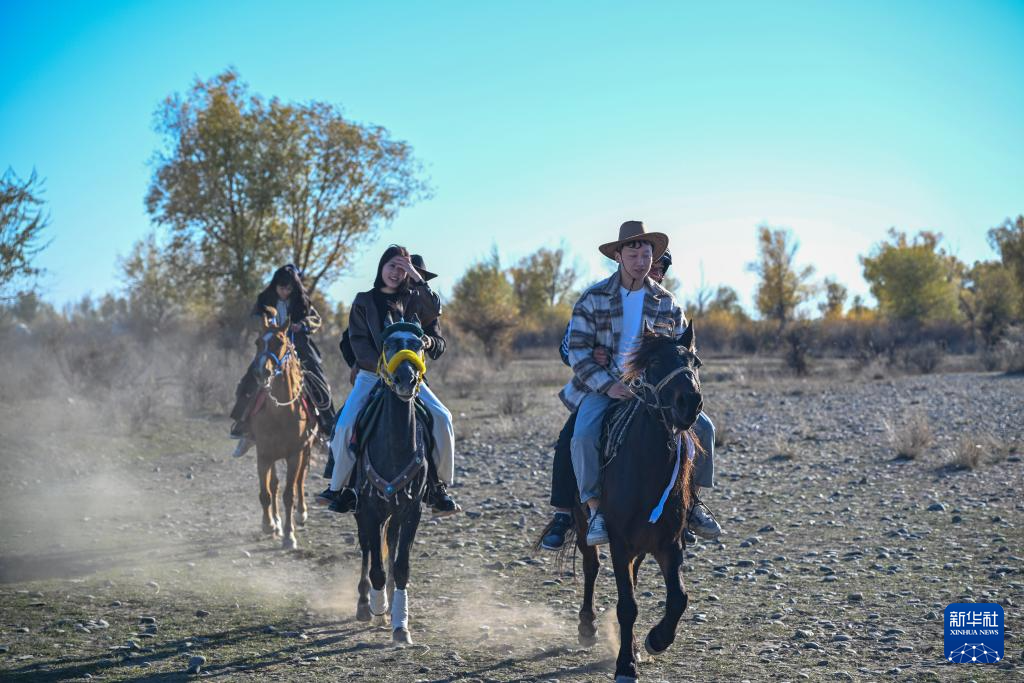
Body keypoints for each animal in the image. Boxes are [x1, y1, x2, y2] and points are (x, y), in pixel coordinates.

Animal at [249, 313, 313, 552]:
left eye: (279, 342)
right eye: (258, 342)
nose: (261, 372)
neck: (279, 412)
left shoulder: (295, 454)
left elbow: (289, 494)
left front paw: (289, 535)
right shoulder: (264, 454)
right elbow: (267, 492)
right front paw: (269, 524)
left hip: (306, 449)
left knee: (300, 480)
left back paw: (301, 513)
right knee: (274, 484)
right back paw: (275, 521)